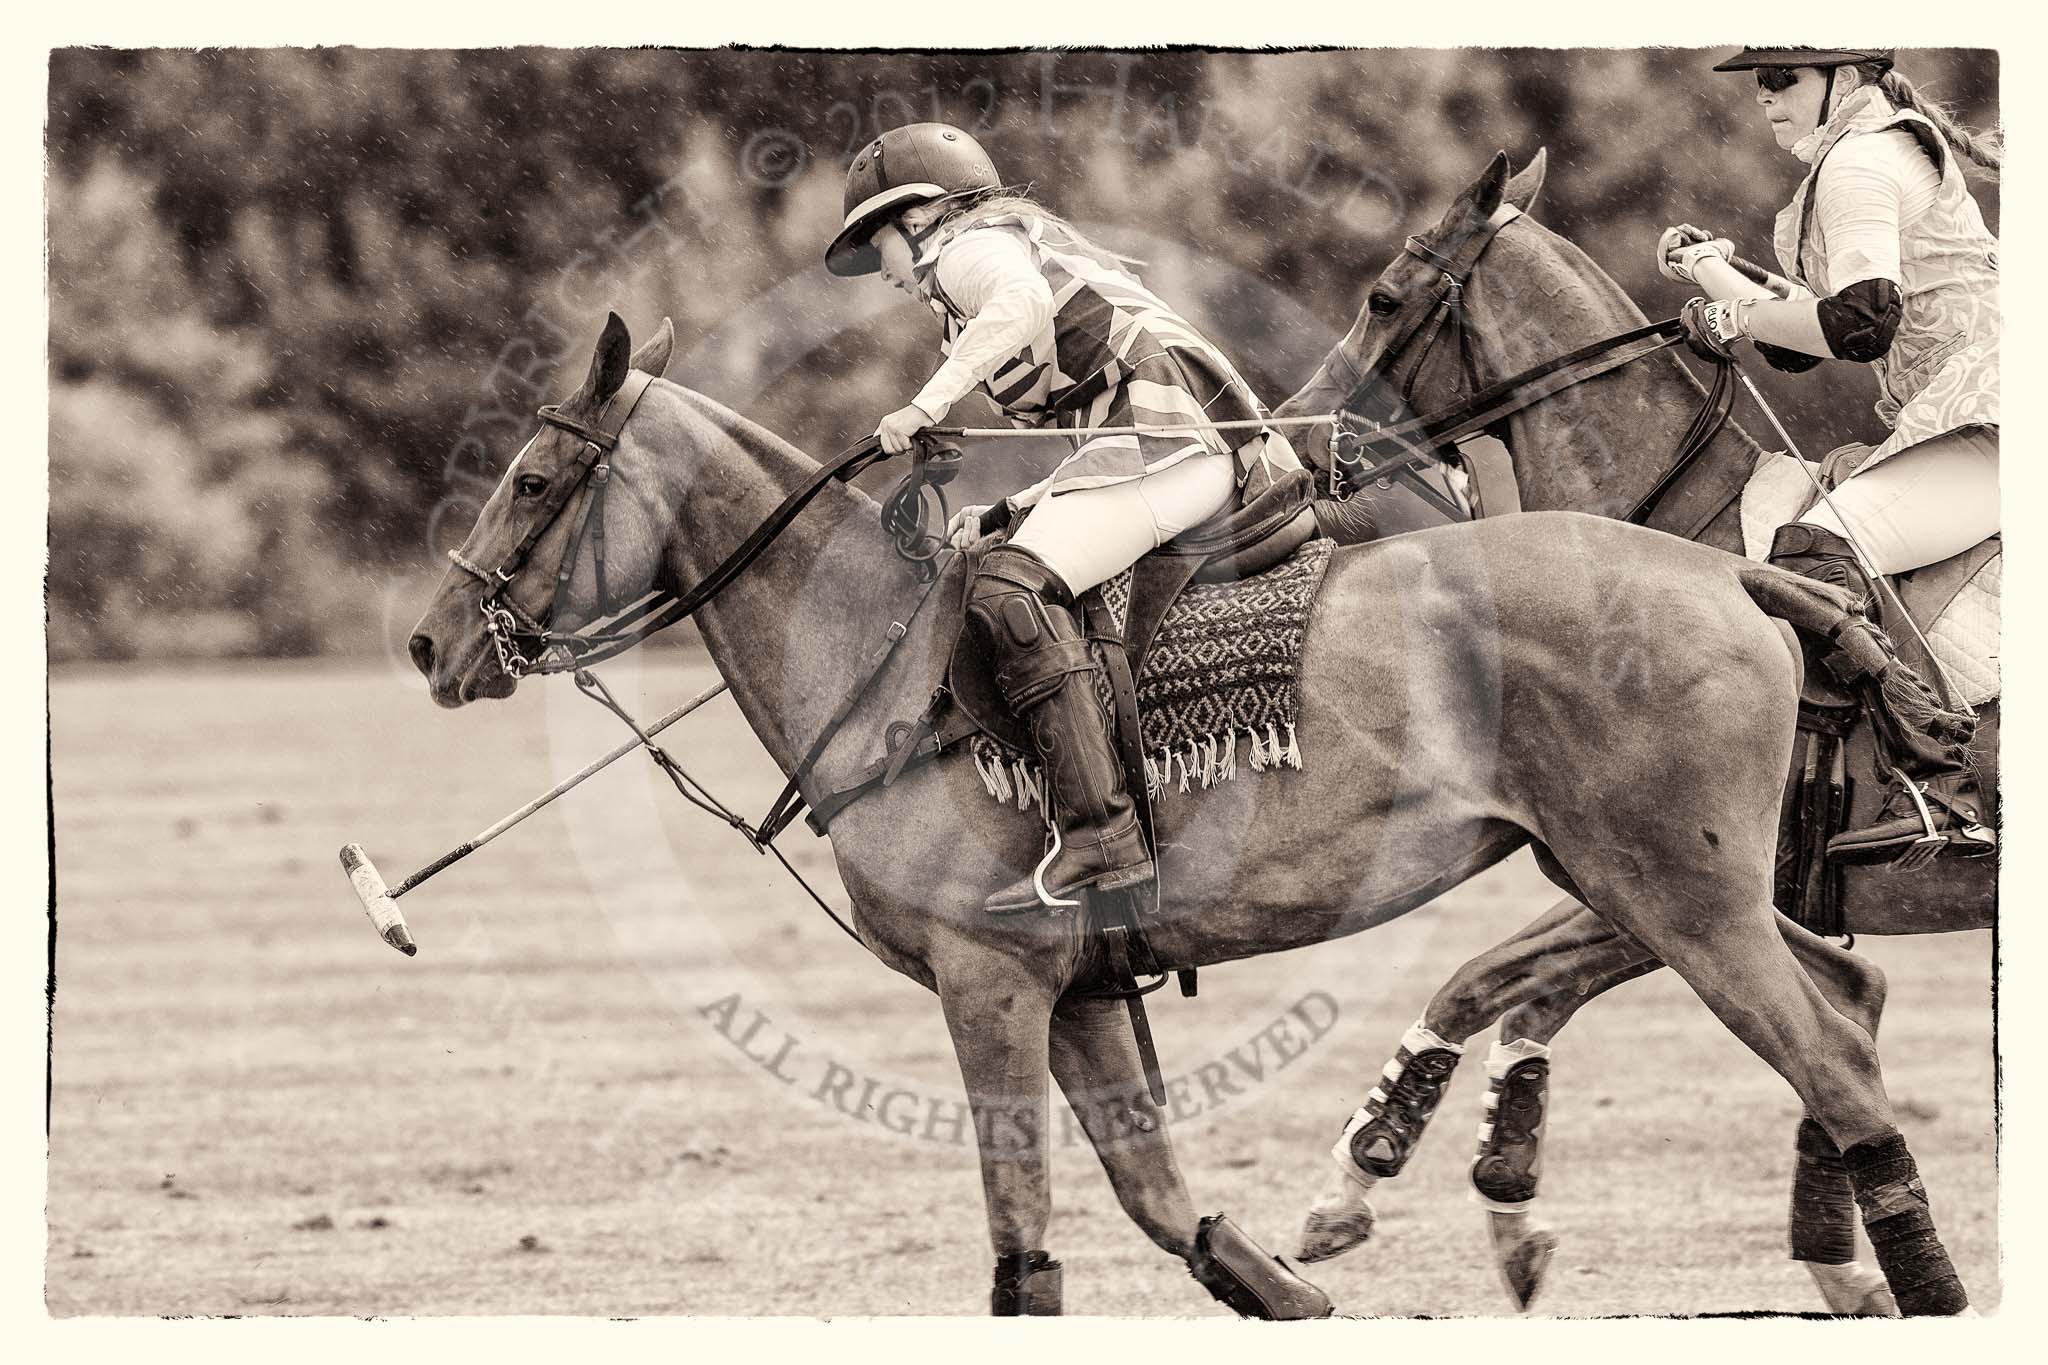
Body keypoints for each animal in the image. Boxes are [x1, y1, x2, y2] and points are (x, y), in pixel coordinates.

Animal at [407, 306, 1974, 1309]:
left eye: (533, 479)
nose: (428, 646)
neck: (880, 665)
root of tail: (1741, 574)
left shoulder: (989, 977)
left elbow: (1022, 1245)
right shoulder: (1084, 985)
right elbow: (1162, 1203)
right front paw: (1297, 1278)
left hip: (1677, 892)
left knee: (1836, 1072)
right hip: (1651, 881)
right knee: (1845, 1013)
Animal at [1269, 147, 1990, 1309]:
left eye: (1381, 296)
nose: (1288, 435)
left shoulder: (1682, 884)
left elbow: (1501, 981)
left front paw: (1375, 1178)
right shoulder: (1652, 881)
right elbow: (1501, 985)